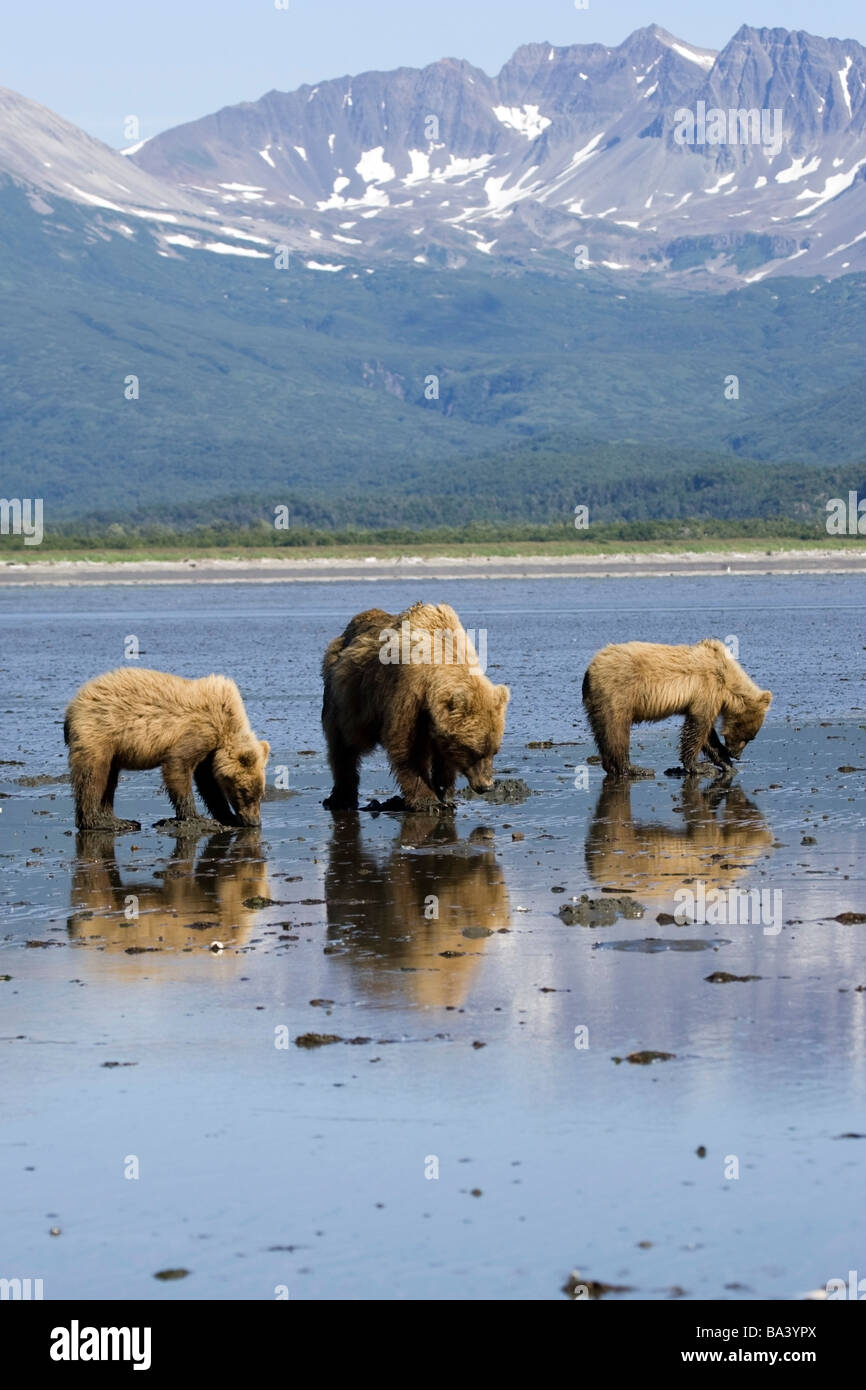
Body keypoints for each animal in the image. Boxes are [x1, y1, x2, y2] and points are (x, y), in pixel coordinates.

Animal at [64, 667, 269, 828]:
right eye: (244, 791)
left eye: (261, 794)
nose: (254, 821)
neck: (226, 724)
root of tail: (72, 705)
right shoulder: (197, 731)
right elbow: (178, 765)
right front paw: (196, 817)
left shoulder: (210, 751)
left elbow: (208, 783)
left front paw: (226, 816)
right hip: (99, 732)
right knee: (93, 775)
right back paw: (99, 822)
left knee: (110, 778)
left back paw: (118, 820)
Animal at [319, 600, 508, 811]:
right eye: (474, 751)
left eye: (494, 751)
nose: (486, 786)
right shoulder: (409, 692)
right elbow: (407, 747)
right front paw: (428, 800)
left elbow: (443, 753)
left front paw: (445, 794)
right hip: (347, 700)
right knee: (343, 746)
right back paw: (342, 798)